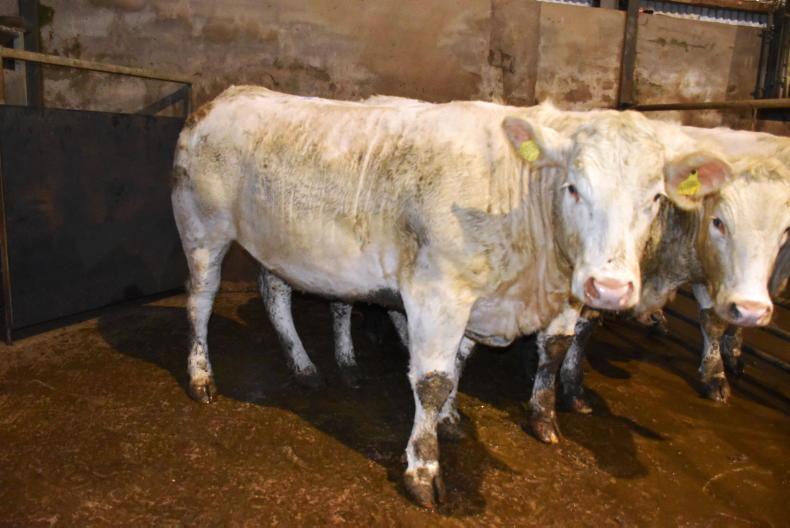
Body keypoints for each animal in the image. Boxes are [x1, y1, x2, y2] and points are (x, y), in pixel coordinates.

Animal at [171, 87, 730, 506]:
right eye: (573, 187)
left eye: (654, 198)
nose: (609, 288)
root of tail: (229, 95)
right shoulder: (437, 293)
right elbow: (433, 381)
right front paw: (423, 466)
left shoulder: (478, 303)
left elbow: (461, 364)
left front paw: (453, 420)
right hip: (202, 228)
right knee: (200, 300)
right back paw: (201, 377)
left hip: (279, 245)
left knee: (274, 291)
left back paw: (303, 365)